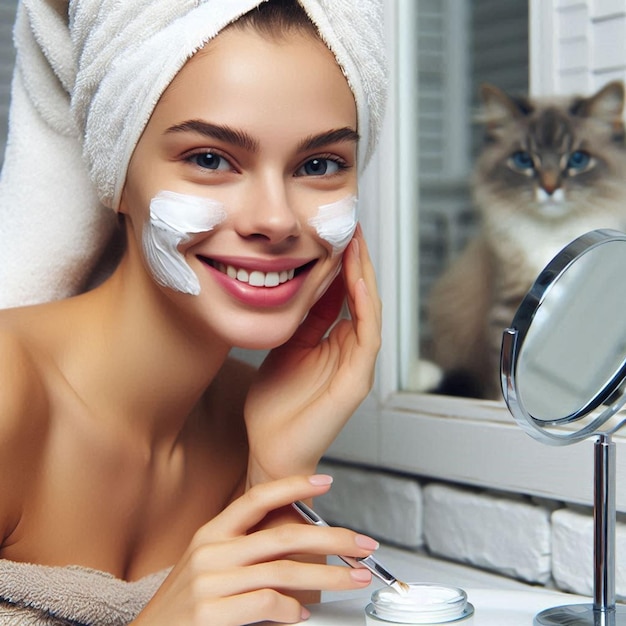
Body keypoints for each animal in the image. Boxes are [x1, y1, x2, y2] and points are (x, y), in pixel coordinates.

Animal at [426, 80, 624, 398]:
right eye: (524, 160)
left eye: (578, 159)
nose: (550, 188)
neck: (552, 232)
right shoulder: (512, 299)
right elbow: (507, 371)